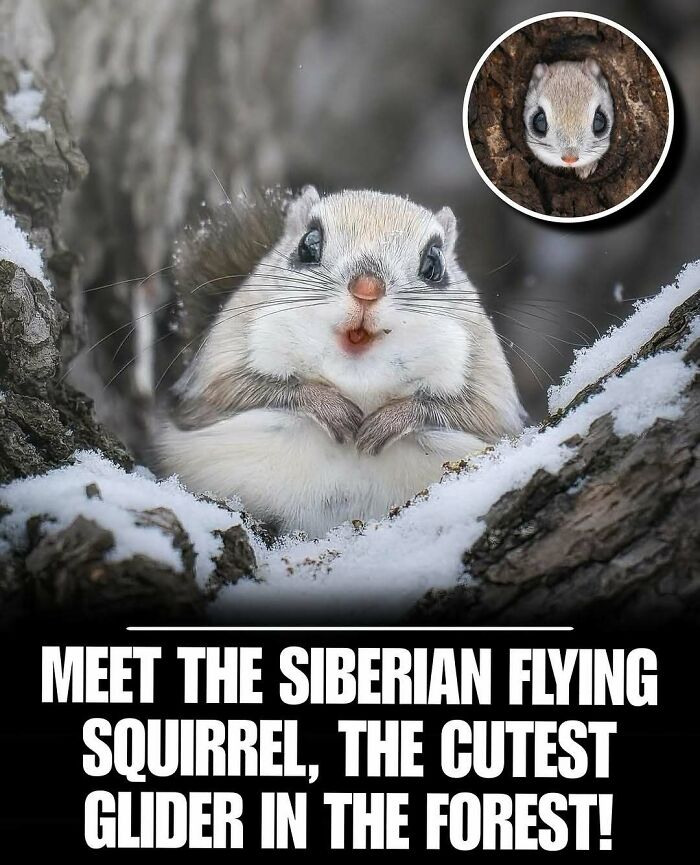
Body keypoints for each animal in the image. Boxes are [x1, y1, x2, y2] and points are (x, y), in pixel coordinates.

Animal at [158, 187, 525, 538]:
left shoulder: (491, 403)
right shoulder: (210, 386)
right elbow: (247, 390)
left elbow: (466, 414)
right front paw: (328, 406)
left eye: (434, 264)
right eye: (309, 245)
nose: (367, 289)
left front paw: (390, 420)